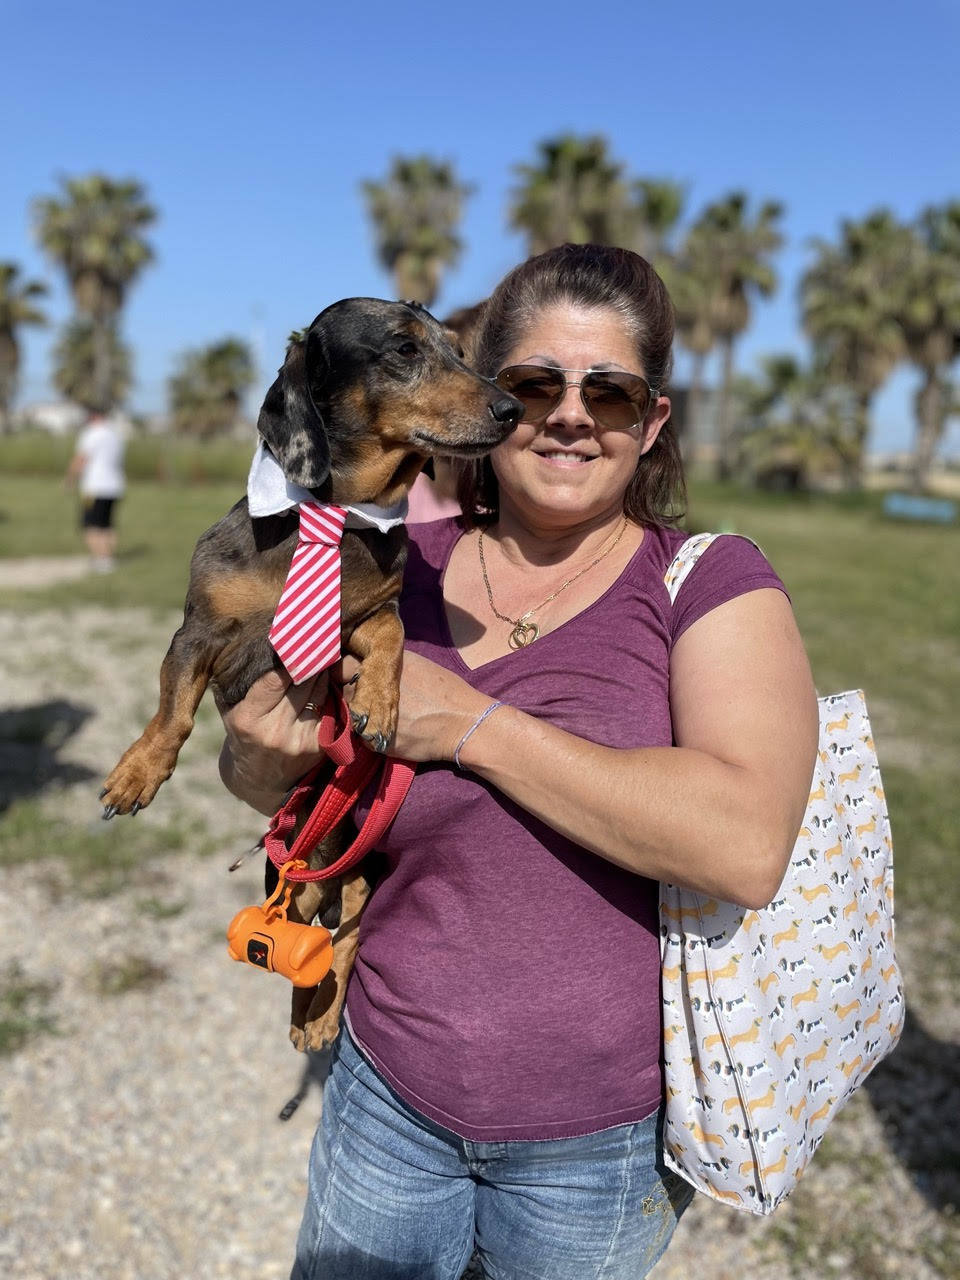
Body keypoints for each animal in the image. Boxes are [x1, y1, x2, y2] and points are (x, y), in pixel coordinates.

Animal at [99, 299, 519, 1049]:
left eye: (460, 351)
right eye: (405, 350)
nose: (513, 410)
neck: (332, 516)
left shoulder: (366, 618)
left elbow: (392, 631)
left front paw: (379, 703)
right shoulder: (197, 633)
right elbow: (173, 712)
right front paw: (137, 773)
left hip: (354, 856)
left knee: (346, 923)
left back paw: (320, 1017)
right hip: (291, 864)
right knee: (299, 921)